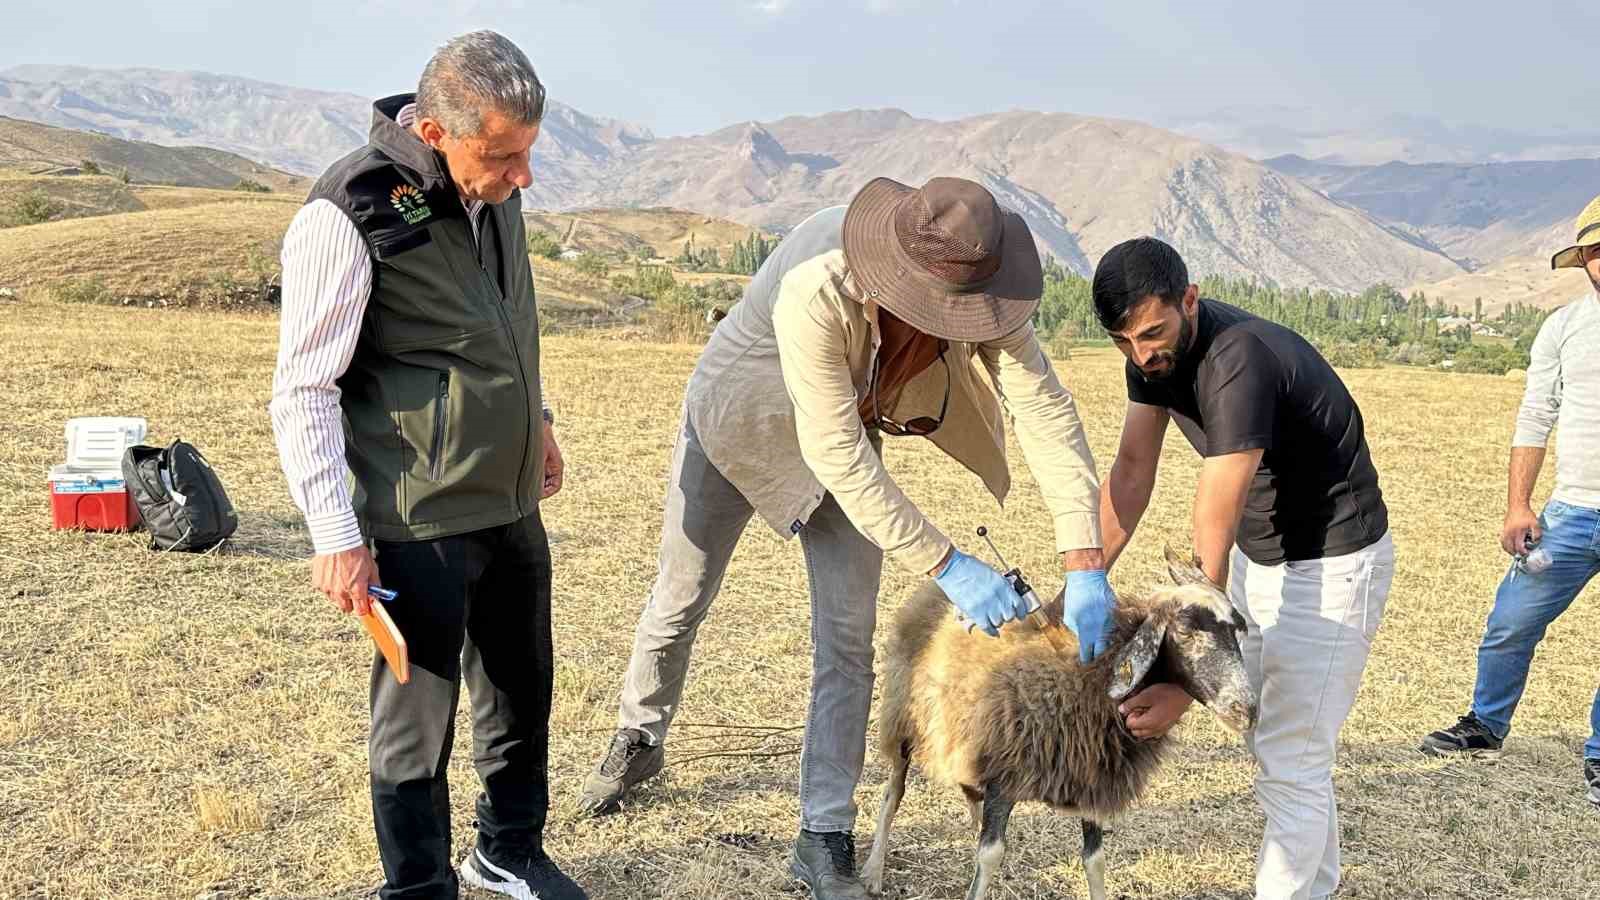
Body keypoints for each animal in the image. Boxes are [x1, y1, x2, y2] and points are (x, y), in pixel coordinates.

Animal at [864, 547, 1260, 896]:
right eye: (1184, 631)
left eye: (1238, 630)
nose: (1247, 709)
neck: (1089, 679)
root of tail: (930, 592)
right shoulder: (1005, 776)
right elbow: (991, 854)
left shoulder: (1094, 781)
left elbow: (1095, 861)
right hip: (902, 719)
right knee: (893, 792)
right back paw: (873, 872)